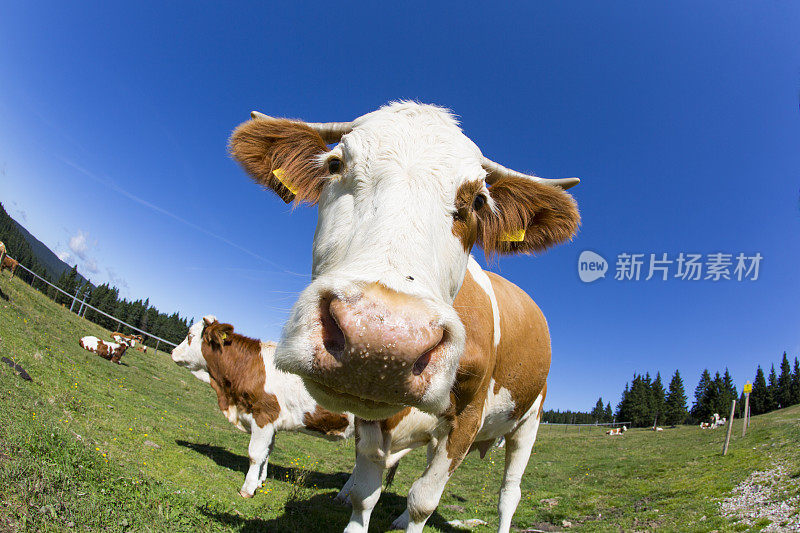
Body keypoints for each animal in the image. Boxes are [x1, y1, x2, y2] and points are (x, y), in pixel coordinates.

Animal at [170, 314, 354, 496]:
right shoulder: (271, 423)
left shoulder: (263, 416)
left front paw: (248, 488)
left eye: (190, 335)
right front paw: (259, 482)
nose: (173, 352)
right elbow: (267, 452)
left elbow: (255, 454)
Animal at [228, 102, 580, 528]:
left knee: (509, 493)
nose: (380, 343)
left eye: (478, 201)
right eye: (335, 164)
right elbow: (365, 493)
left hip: (529, 421)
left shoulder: (469, 415)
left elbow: (424, 501)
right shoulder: (368, 419)